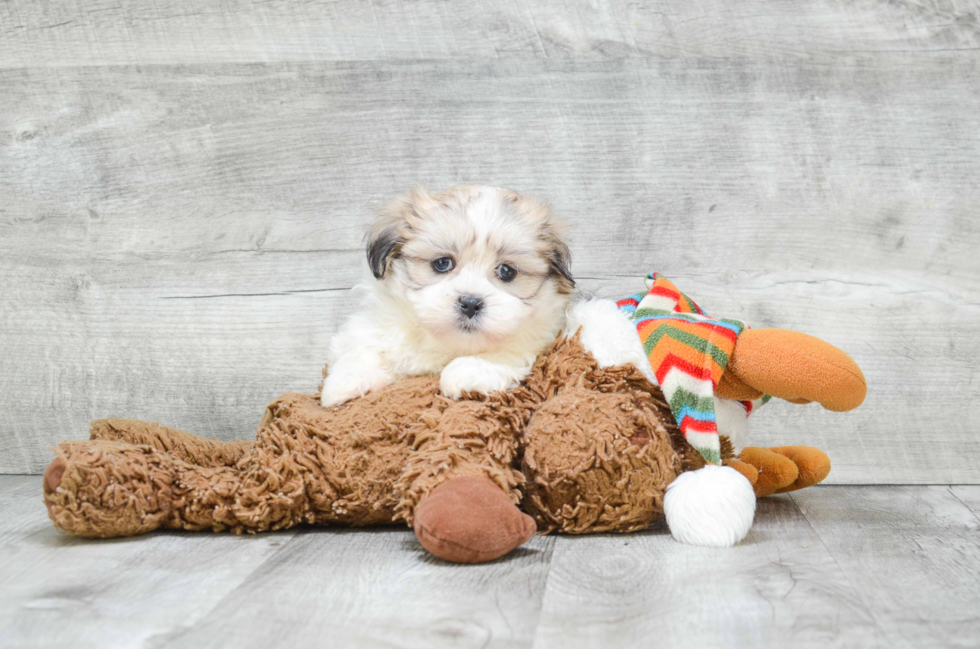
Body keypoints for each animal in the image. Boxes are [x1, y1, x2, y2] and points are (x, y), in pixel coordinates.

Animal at [322, 184, 576, 404]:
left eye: (506, 271)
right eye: (442, 263)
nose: (471, 303)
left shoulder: (540, 336)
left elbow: (509, 349)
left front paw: (467, 371)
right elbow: (365, 345)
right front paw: (347, 380)